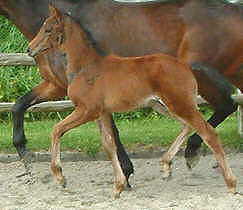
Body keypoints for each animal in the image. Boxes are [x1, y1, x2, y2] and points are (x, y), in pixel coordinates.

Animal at [0, 0, 242, 179]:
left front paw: (126, 171)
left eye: (49, 28)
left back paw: (191, 152)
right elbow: (19, 105)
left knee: (224, 106)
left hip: (201, 78)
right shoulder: (55, 85)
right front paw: (24, 155)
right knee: (225, 106)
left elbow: (111, 131)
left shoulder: (83, 93)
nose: (29, 49)